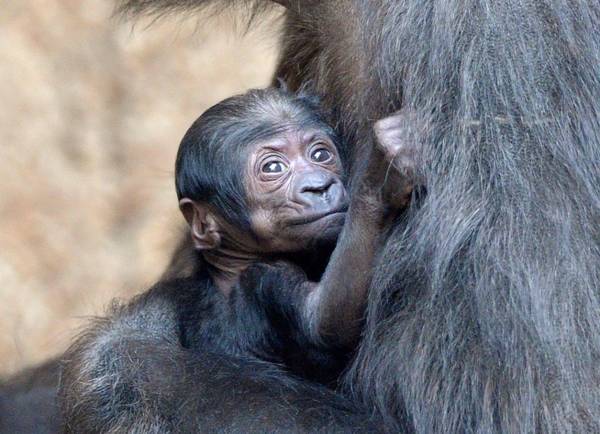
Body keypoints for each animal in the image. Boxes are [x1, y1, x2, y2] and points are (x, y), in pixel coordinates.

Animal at [59, 86, 418, 432]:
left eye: (320, 154)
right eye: (273, 168)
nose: (318, 186)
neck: (235, 260)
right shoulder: (264, 279)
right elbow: (324, 321)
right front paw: (379, 180)